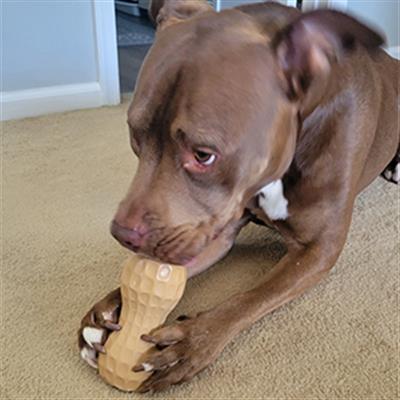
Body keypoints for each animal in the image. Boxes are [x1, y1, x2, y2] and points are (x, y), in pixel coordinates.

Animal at [77, 0, 396, 392]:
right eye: (134, 134)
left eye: (203, 155)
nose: (122, 234)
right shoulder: (215, 231)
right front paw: (110, 307)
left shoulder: (318, 250)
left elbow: (253, 297)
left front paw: (196, 338)